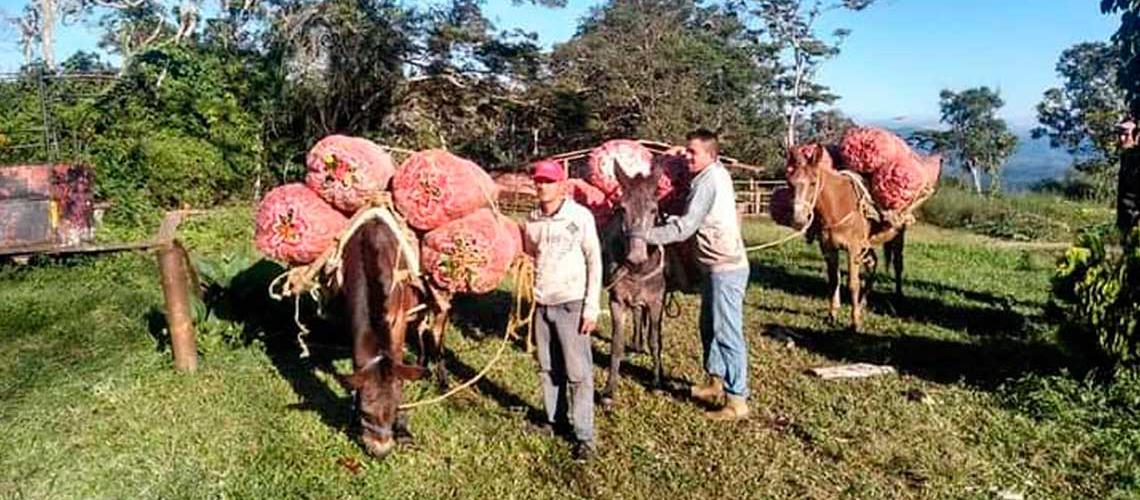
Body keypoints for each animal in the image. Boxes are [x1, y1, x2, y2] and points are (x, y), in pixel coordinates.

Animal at [788, 144, 912, 332]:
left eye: (813, 183)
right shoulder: (829, 249)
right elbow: (834, 281)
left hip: (896, 239)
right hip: (867, 245)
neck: (838, 206)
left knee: (898, 266)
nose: (798, 219)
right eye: (790, 183)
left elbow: (853, 284)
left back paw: (897, 298)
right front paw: (832, 315)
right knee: (872, 263)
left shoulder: (852, 250)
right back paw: (863, 303)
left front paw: (855, 323)